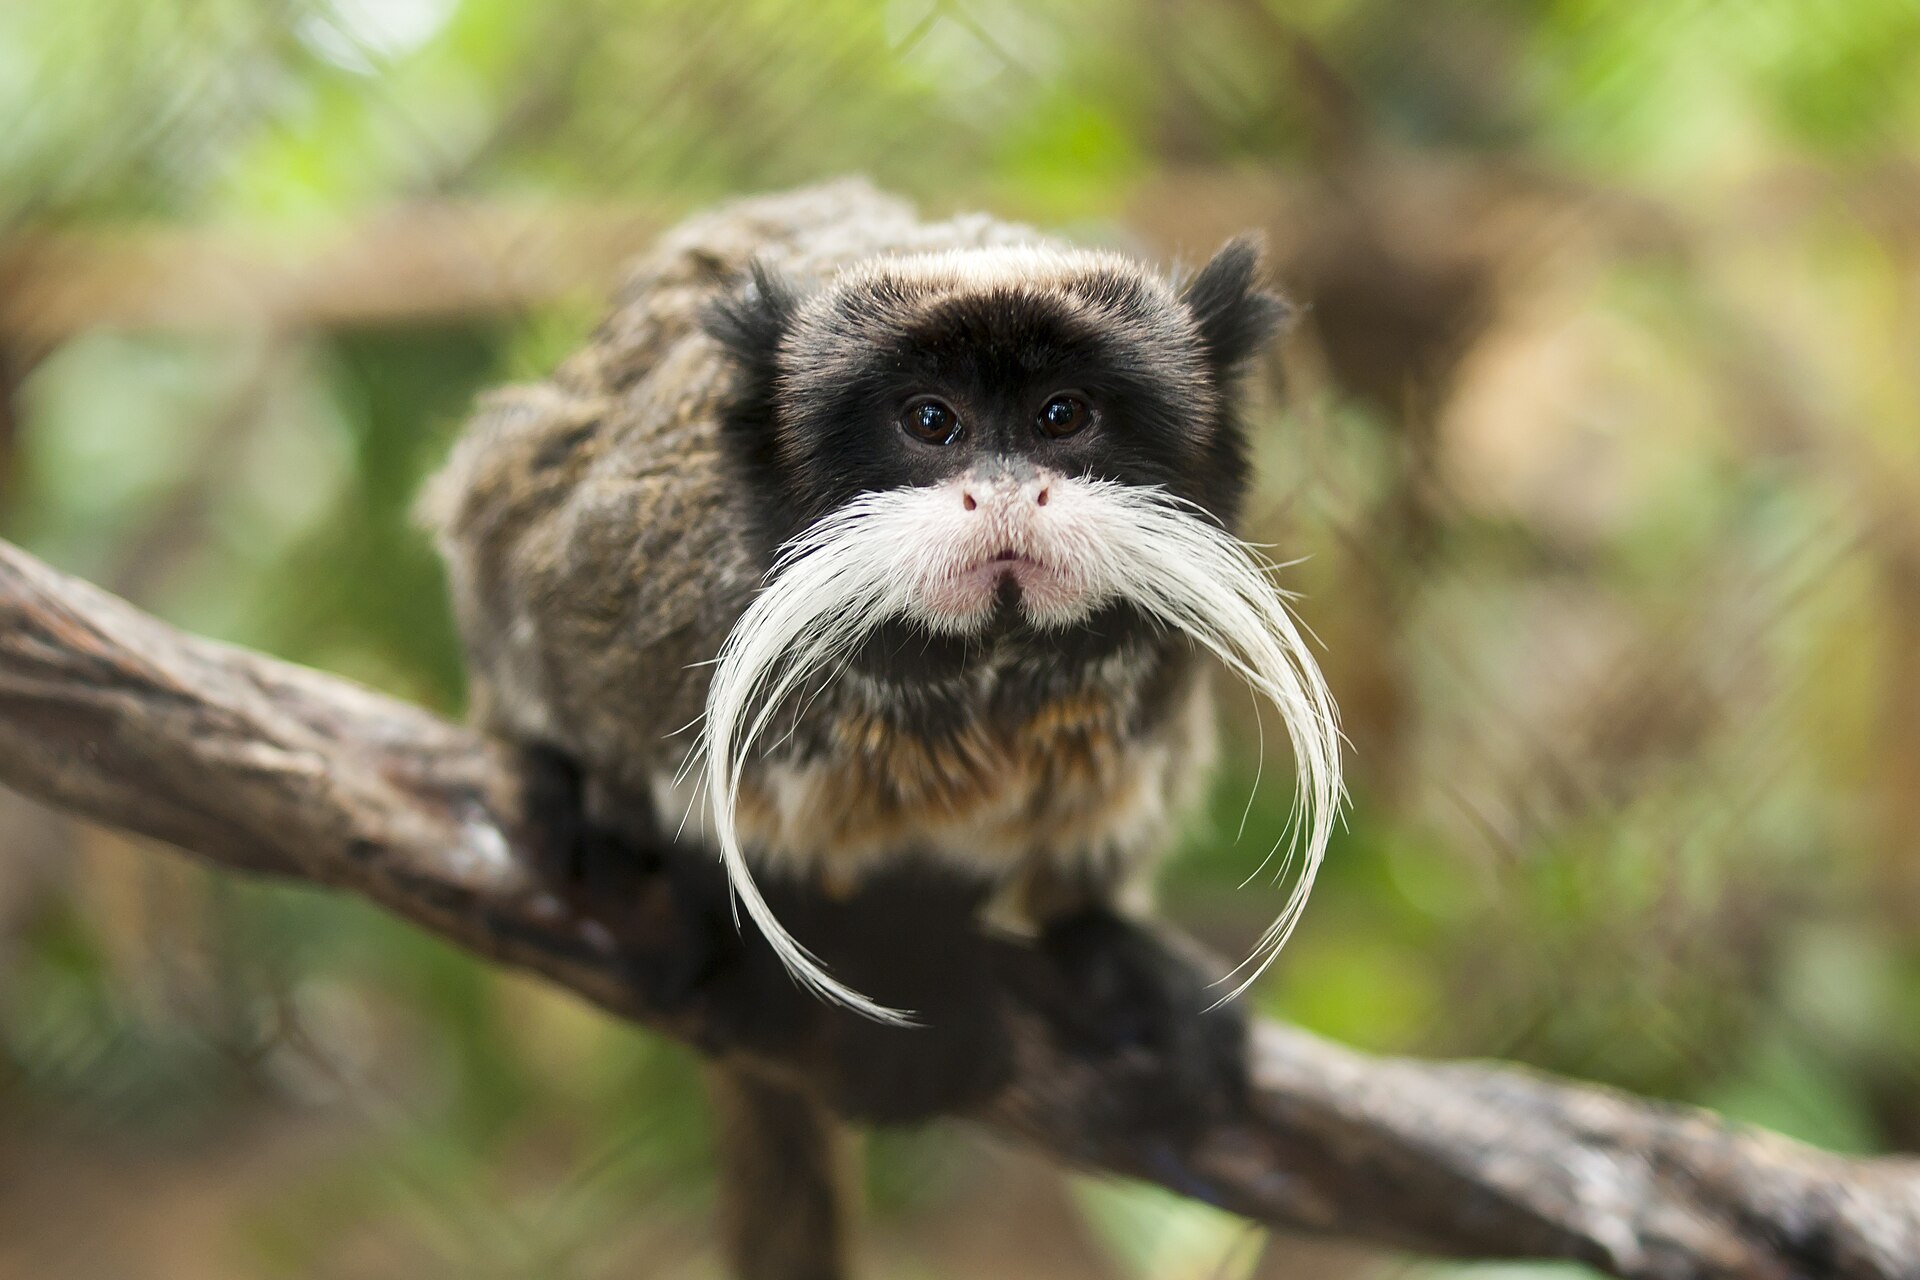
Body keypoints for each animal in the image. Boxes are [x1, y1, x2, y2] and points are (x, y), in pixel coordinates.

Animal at [421, 178, 1341, 1276]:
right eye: (931, 421)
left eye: (1063, 415)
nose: (1004, 491)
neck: (977, 672)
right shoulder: (632, 571)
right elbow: (505, 548)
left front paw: (1026, 942)